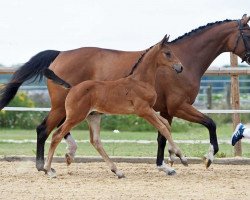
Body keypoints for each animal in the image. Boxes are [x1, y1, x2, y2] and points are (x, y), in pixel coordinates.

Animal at [43, 35, 186, 177]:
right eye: (167, 53)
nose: (180, 67)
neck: (140, 81)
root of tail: (72, 88)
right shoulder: (143, 111)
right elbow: (163, 127)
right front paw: (182, 156)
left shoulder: (149, 109)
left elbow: (166, 124)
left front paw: (174, 156)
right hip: (75, 116)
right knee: (57, 135)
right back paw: (48, 169)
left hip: (93, 116)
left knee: (95, 141)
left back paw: (117, 171)